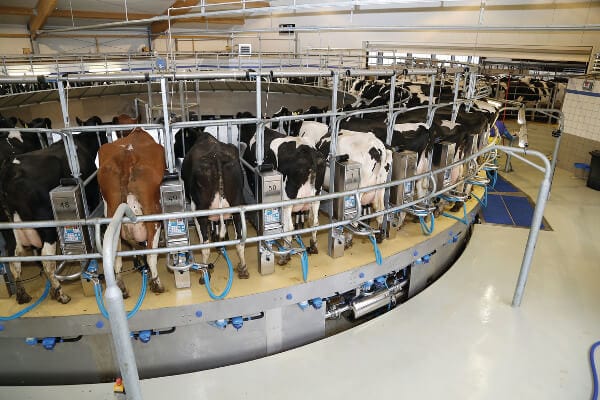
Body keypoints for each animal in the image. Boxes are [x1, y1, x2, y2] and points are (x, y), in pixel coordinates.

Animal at [0, 117, 106, 304]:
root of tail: (10, 172)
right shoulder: (92, 194)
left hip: (9, 228)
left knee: (14, 258)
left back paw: (22, 294)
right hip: (47, 226)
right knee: (47, 260)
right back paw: (60, 293)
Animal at [98, 126, 165, 296]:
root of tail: (127, 155)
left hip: (112, 208)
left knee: (115, 254)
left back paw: (121, 286)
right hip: (152, 213)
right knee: (150, 253)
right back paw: (157, 284)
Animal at [183, 128, 248, 278]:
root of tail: (217, 156)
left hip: (199, 211)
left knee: (205, 246)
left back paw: (204, 273)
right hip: (237, 204)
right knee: (240, 241)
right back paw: (243, 268)